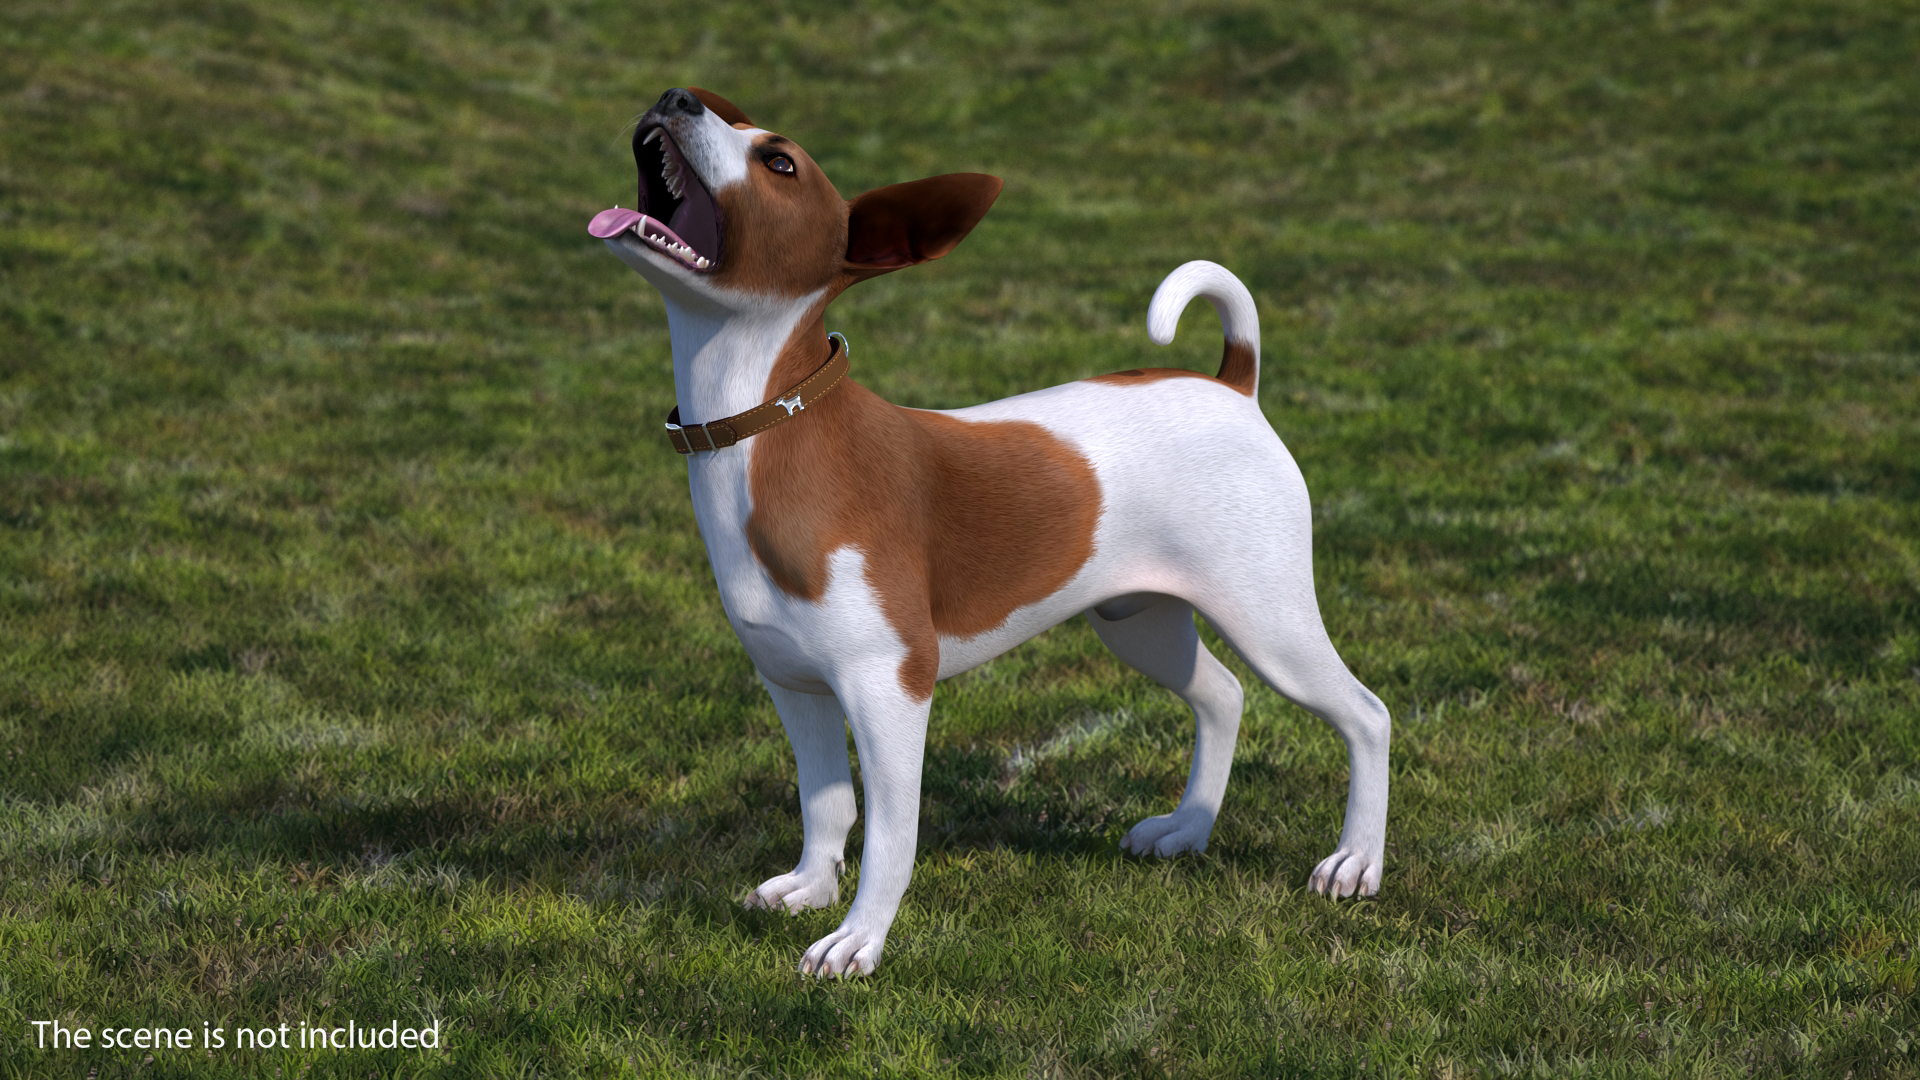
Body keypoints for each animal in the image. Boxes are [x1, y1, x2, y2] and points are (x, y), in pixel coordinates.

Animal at [591, 88, 1390, 972]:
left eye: (778, 162)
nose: (676, 97)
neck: (773, 428)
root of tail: (1232, 385)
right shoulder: (794, 683)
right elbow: (825, 802)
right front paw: (809, 886)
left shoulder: (891, 686)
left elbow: (891, 835)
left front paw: (859, 938)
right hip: (1139, 619)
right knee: (1222, 695)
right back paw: (1187, 828)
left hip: (1268, 615)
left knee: (1365, 714)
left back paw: (1355, 862)